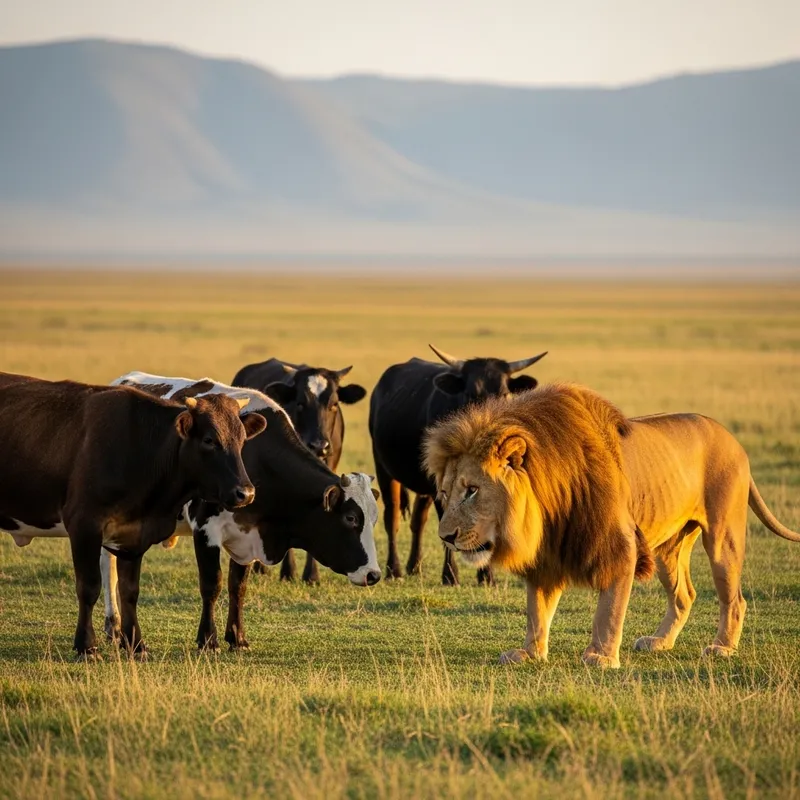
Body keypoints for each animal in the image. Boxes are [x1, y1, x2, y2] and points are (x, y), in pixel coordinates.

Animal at [0, 371, 265, 659]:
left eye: (241, 439)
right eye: (209, 440)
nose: (245, 493)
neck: (141, 450)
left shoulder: (133, 533)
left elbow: (129, 591)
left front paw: (136, 644)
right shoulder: (84, 525)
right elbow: (88, 587)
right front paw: (86, 646)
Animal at [369, 345, 547, 586]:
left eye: (503, 393)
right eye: (471, 394)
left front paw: (487, 576)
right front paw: (450, 574)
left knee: (418, 520)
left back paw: (415, 566)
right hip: (384, 469)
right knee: (392, 518)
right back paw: (393, 570)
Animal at [423, 382, 800, 668]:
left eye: (472, 491)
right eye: (444, 493)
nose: (447, 537)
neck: (547, 503)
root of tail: (733, 439)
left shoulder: (619, 545)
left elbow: (609, 609)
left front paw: (600, 656)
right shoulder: (547, 554)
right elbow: (536, 609)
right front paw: (530, 653)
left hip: (722, 537)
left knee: (734, 598)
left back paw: (722, 647)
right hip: (667, 549)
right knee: (684, 594)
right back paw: (660, 641)